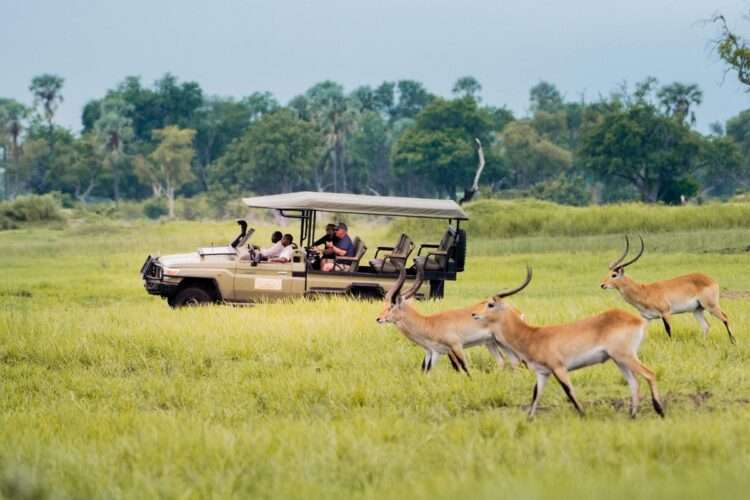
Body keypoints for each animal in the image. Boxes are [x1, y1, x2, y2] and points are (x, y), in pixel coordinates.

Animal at [376, 262, 524, 376]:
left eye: (391, 306)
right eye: (384, 304)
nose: (378, 318)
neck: (429, 323)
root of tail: (515, 310)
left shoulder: (456, 346)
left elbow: (466, 369)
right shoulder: (434, 352)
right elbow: (426, 372)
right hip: (492, 343)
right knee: (505, 362)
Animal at [476, 266, 664, 418]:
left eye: (490, 304)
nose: (474, 314)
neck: (532, 335)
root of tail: (637, 320)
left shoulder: (559, 368)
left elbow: (569, 392)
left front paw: (584, 415)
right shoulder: (543, 373)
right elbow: (535, 396)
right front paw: (529, 420)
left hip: (625, 357)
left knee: (650, 374)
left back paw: (660, 411)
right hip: (619, 360)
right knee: (634, 383)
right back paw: (632, 415)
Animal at [604, 235, 736, 344]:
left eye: (614, 275)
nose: (602, 285)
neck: (644, 291)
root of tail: (710, 279)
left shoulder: (666, 313)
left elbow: (668, 331)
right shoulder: (647, 318)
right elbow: (642, 335)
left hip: (711, 306)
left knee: (725, 317)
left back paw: (733, 341)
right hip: (697, 310)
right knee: (706, 326)